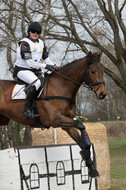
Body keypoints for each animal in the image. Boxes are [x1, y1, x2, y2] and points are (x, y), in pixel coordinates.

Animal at [0, 50, 106, 178]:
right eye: (92, 71)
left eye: (103, 71)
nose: (102, 94)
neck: (61, 86)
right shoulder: (56, 120)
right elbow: (81, 125)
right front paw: (87, 147)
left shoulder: (66, 123)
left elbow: (80, 138)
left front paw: (92, 168)